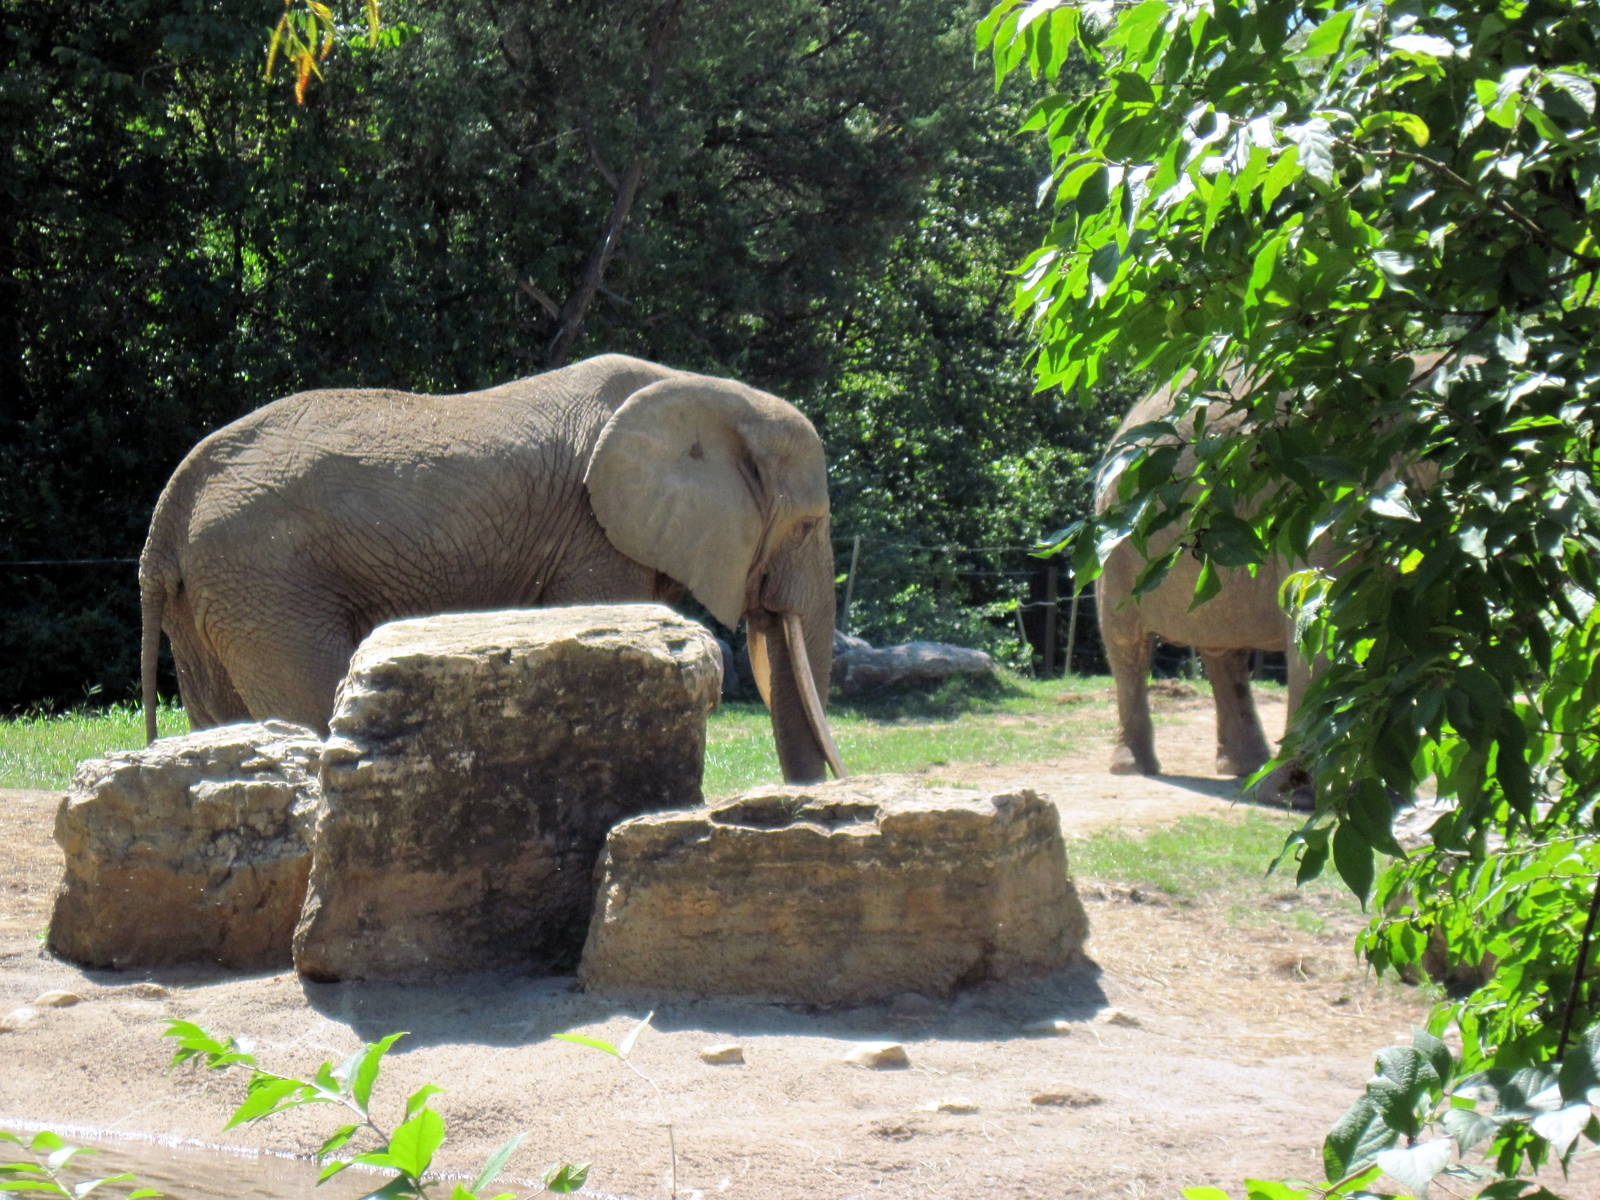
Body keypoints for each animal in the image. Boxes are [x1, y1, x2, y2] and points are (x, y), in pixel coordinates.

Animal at [138, 353, 846, 784]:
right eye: (808, 524)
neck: (708, 392)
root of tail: (169, 510)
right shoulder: (594, 538)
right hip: (267, 582)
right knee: (311, 700)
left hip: (214, 594)